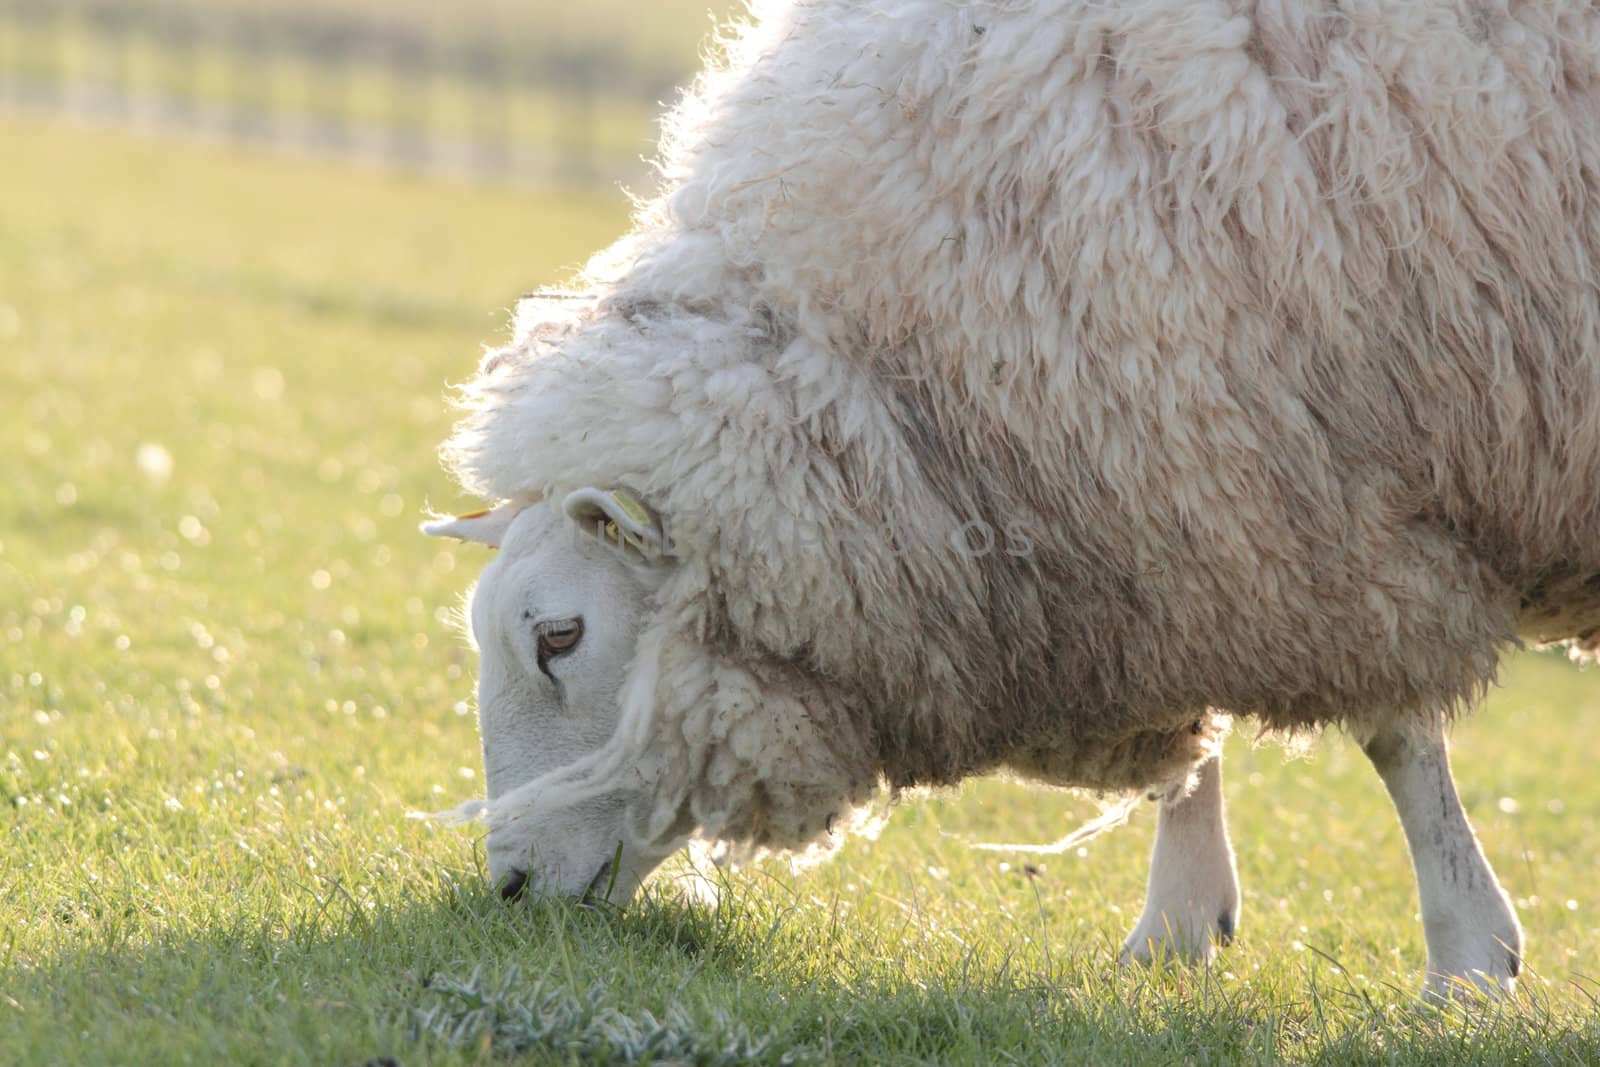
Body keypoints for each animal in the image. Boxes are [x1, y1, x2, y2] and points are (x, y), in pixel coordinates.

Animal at [425, 0, 1600, 1004]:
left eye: (560, 634)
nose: (509, 887)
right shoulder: (1198, 484)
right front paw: (1180, 920)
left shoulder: (1339, 487)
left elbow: (1394, 736)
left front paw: (1466, 960)